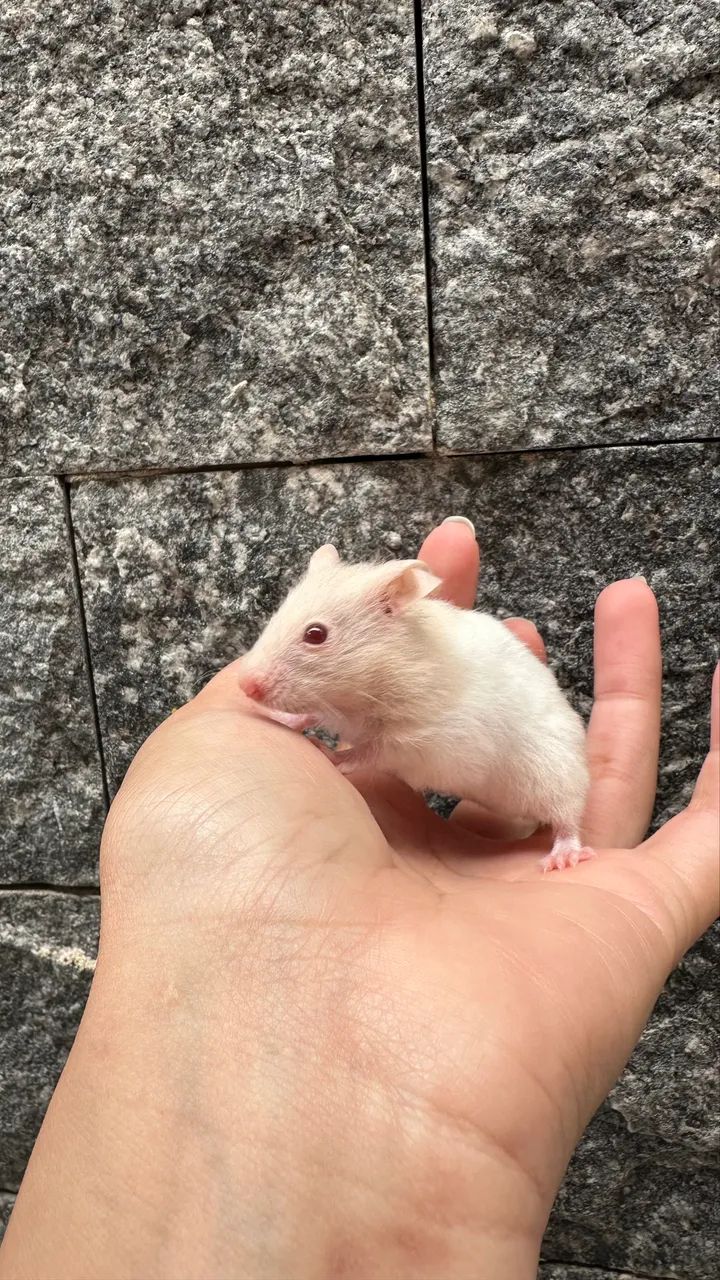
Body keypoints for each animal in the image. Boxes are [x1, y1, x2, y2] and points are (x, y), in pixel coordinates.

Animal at [238, 544, 592, 872]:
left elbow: (368, 751)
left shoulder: (417, 741)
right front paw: (280, 717)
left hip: (555, 773)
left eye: (315, 634)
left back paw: (563, 857)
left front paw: (327, 753)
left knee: (568, 817)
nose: (243, 685)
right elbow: (311, 713)